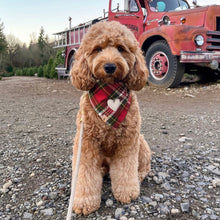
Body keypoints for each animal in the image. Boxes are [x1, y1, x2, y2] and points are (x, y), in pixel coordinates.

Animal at [70, 21, 151, 215]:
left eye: (121, 48)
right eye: (97, 49)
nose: (109, 66)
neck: (109, 93)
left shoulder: (128, 141)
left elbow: (125, 169)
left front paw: (127, 191)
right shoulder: (86, 142)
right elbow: (85, 173)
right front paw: (84, 200)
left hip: (142, 144)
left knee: (144, 167)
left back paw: (138, 177)